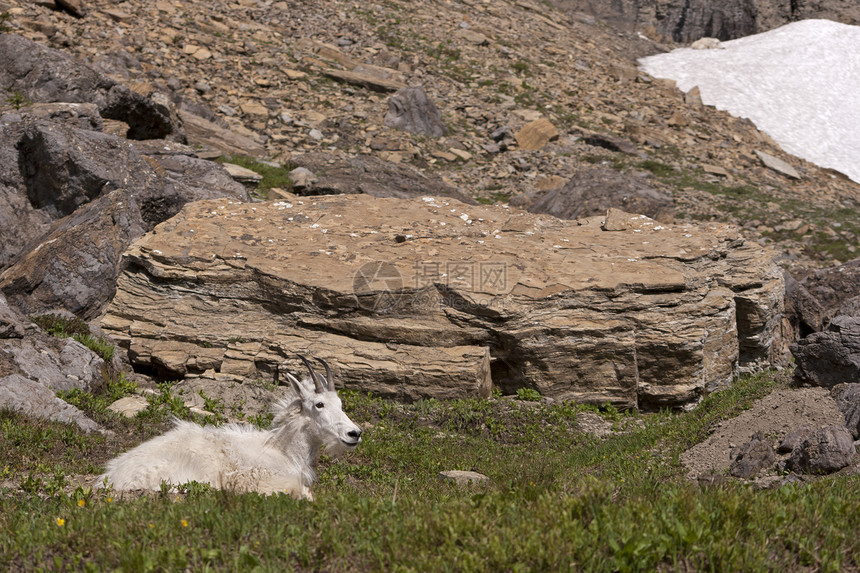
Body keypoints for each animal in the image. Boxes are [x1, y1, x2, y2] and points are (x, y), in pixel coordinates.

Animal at [101, 356, 362, 498]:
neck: (284, 451)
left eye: (341, 404)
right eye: (319, 404)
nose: (355, 433)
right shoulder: (252, 477)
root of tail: (112, 477)